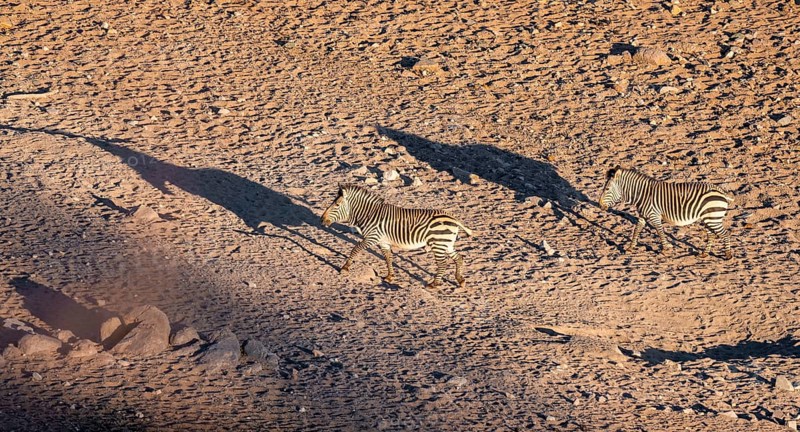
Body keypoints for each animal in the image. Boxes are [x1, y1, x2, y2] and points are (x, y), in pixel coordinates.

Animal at [321, 184, 473, 288]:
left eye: (337, 205)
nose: (322, 220)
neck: (369, 215)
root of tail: (454, 219)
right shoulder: (383, 241)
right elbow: (388, 258)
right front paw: (389, 276)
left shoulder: (372, 237)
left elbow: (355, 249)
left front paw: (345, 268)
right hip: (446, 244)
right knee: (459, 258)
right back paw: (460, 280)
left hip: (439, 243)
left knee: (442, 264)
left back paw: (434, 284)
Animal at [599, 166, 734, 259]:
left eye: (607, 189)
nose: (600, 205)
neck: (643, 194)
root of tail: (720, 190)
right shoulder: (643, 216)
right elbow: (637, 229)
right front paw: (630, 248)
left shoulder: (654, 215)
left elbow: (659, 230)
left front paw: (665, 248)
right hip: (708, 218)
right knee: (711, 234)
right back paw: (704, 254)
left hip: (713, 218)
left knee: (725, 233)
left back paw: (728, 255)